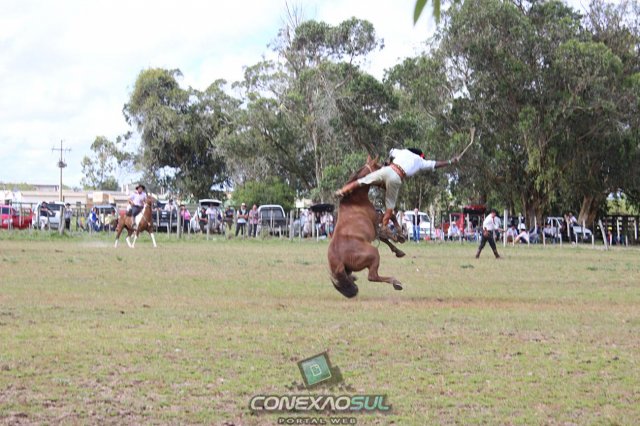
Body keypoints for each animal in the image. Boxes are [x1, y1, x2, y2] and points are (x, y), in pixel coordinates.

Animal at [328, 155, 405, 298]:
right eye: (379, 167)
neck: (354, 200)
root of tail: (338, 262)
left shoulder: (375, 230)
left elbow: (384, 238)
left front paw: (398, 250)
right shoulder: (376, 220)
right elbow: (390, 217)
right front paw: (400, 235)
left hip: (348, 269)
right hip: (374, 254)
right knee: (372, 276)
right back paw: (396, 282)